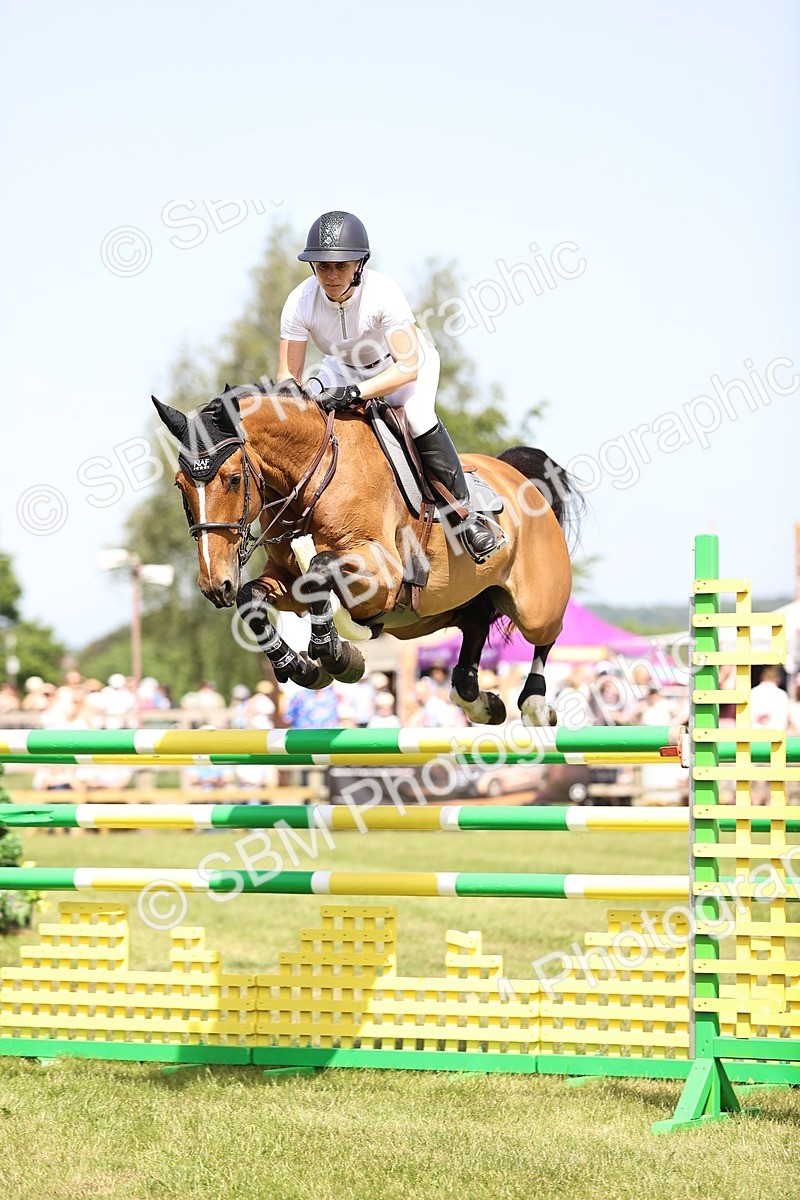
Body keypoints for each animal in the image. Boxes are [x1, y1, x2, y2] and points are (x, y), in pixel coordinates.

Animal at [152, 384, 582, 726]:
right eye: (180, 486)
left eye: (232, 479)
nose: (214, 585)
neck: (313, 479)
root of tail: (521, 476)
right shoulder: (285, 580)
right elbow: (251, 598)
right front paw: (301, 666)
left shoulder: (384, 574)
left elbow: (319, 570)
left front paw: (335, 654)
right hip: (465, 600)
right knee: (475, 628)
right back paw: (481, 703)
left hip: (536, 605)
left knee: (547, 634)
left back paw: (535, 703)